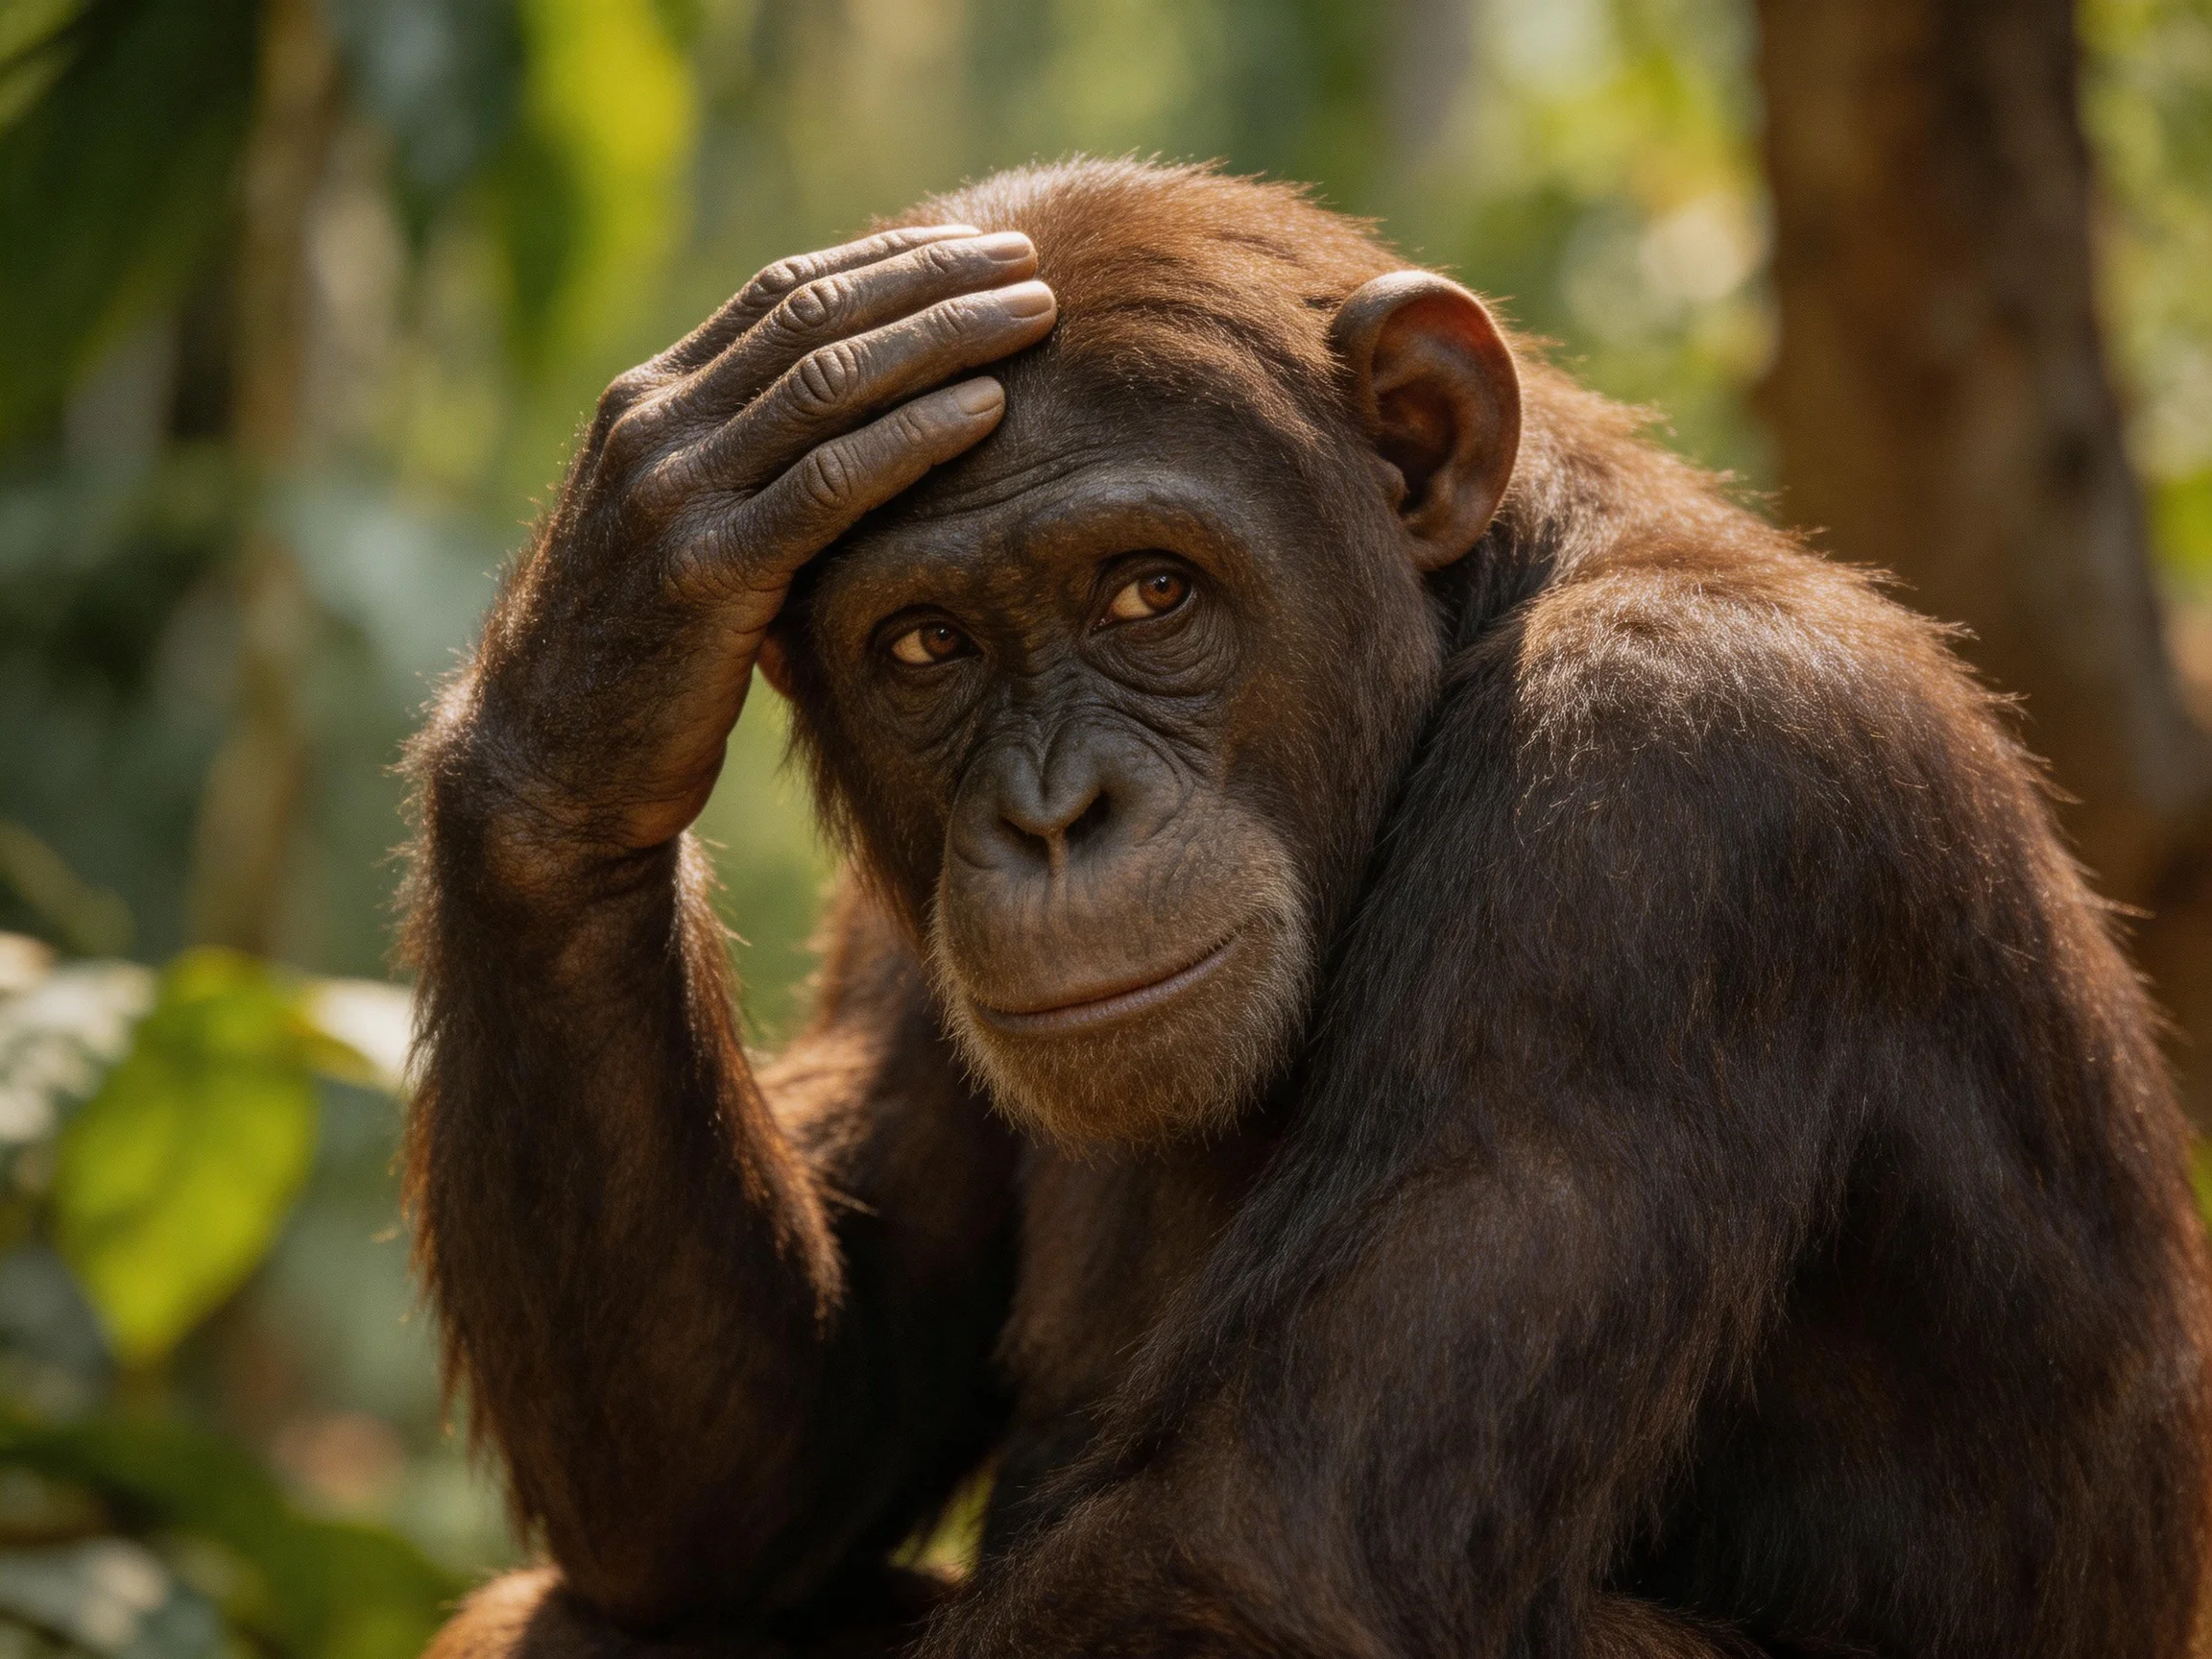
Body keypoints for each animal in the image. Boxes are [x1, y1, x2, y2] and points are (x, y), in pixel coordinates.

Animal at [402, 159, 2212, 1657]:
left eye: (1149, 592)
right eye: (926, 646)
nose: (1053, 814)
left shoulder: (1666, 796)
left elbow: (1242, 1558)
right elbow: (763, 1473)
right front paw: (620, 608)